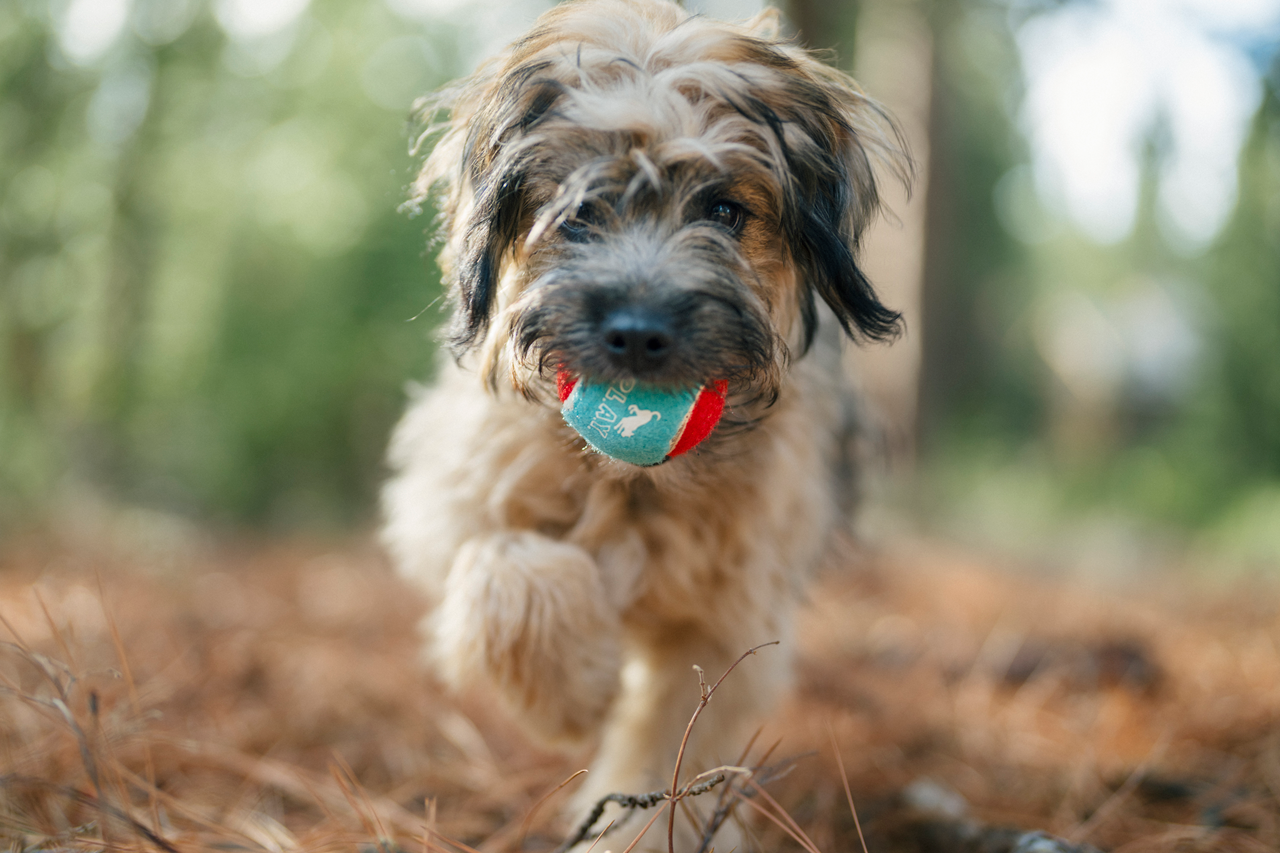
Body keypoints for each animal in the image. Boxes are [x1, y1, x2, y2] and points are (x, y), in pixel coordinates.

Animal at [378, 1, 901, 845]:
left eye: (725, 211)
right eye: (579, 212)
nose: (637, 331)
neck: (630, 481)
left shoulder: (725, 619)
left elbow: (668, 745)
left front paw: (642, 827)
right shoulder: (451, 502)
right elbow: (506, 570)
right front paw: (570, 697)